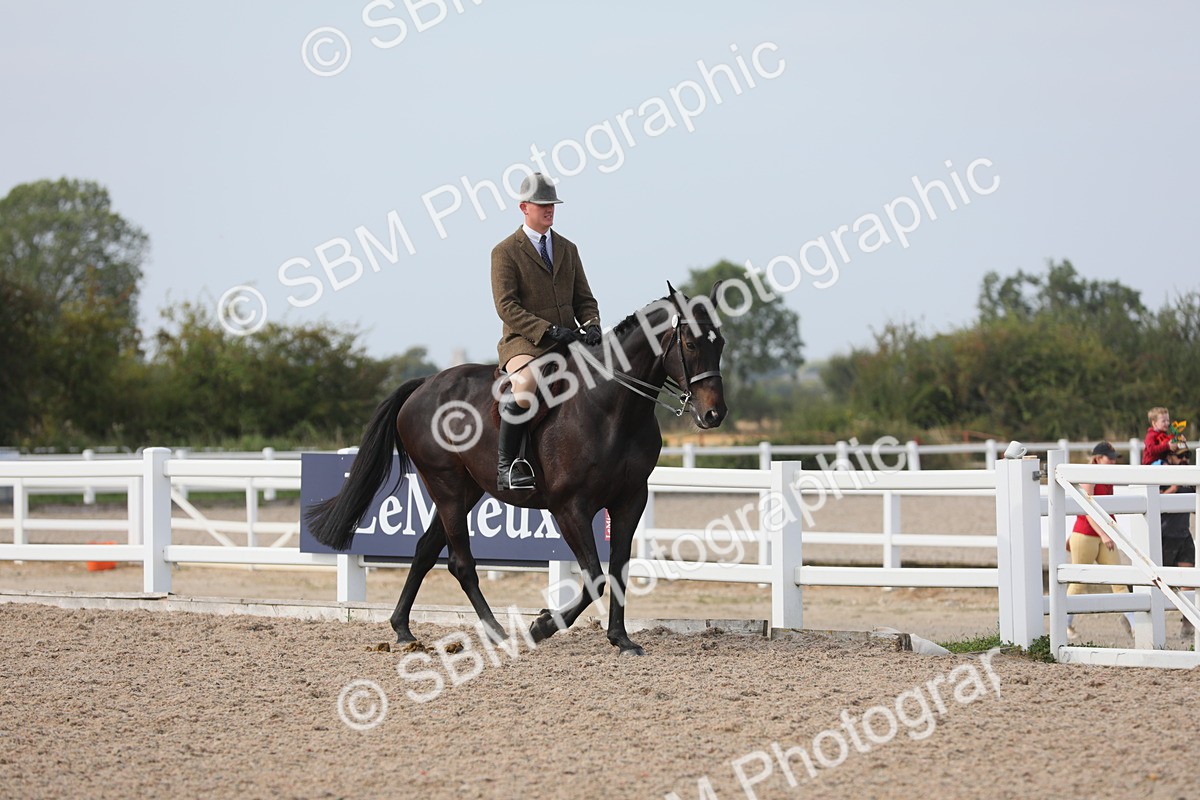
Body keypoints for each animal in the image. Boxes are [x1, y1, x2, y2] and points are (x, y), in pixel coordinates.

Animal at [305, 283, 727, 655]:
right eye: (691, 344)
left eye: (720, 342)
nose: (714, 414)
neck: (611, 408)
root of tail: (425, 384)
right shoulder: (570, 507)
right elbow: (594, 577)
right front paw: (543, 625)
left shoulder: (630, 501)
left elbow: (618, 572)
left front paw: (621, 639)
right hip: (446, 485)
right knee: (460, 563)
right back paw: (497, 633)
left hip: (467, 489)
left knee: (425, 550)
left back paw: (403, 629)